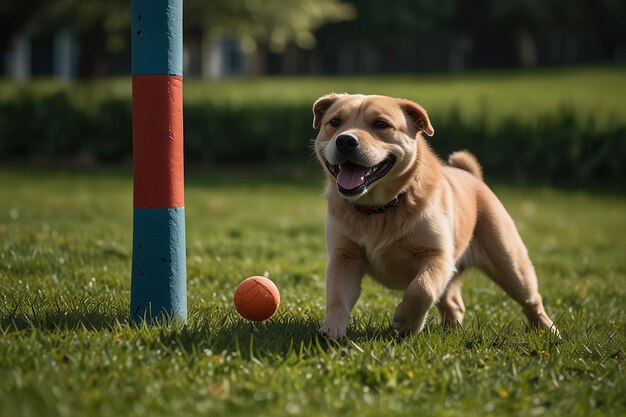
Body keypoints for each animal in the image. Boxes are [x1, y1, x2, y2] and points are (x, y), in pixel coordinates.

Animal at [310, 93, 560, 338]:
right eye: (335, 122)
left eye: (381, 124)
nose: (345, 140)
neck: (380, 208)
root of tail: (472, 176)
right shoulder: (344, 257)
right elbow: (337, 296)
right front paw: (331, 331)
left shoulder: (438, 255)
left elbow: (422, 289)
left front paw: (406, 322)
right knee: (454, 303)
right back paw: (451, 330)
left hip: (510, 263)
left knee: (531, 301)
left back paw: (549, 331)